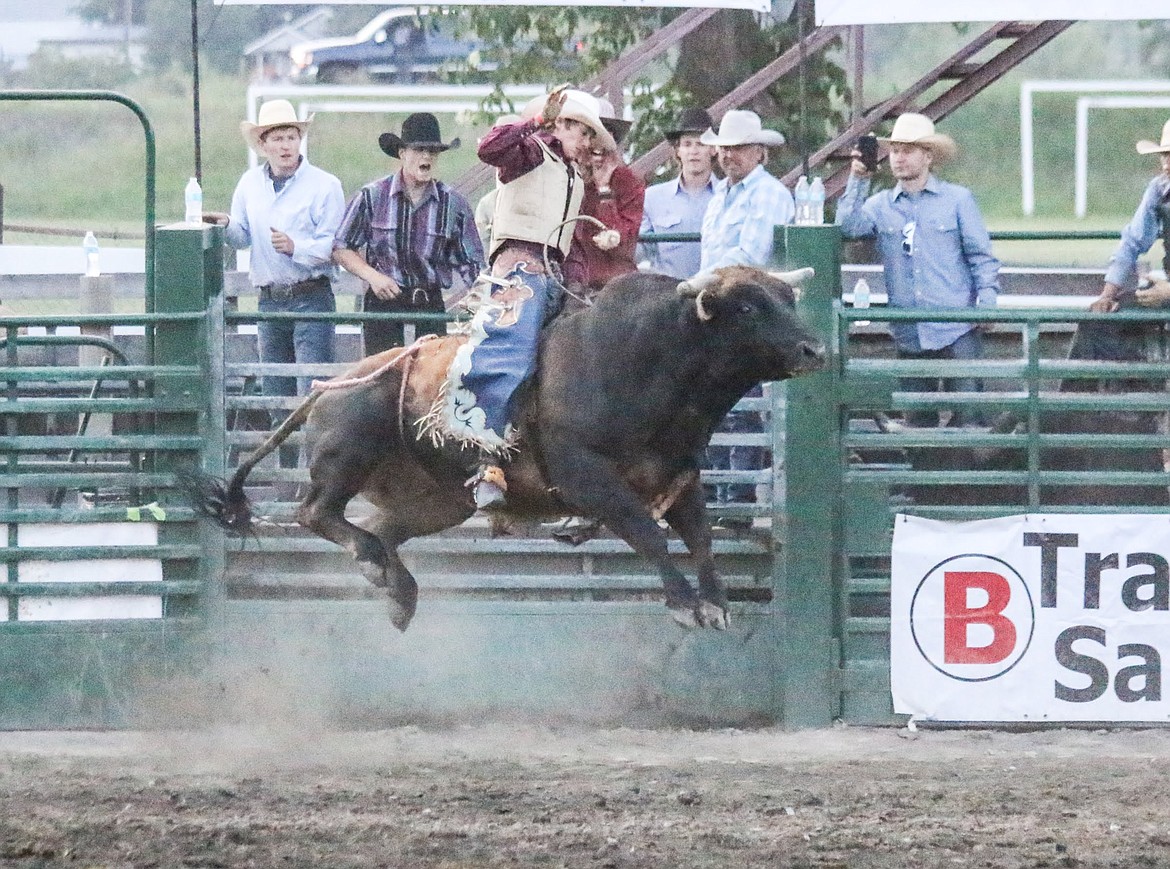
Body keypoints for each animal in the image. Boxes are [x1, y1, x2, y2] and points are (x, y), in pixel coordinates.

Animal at [191, 265, 828, 631]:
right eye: (747, 306)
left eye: (785, 297)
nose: (813, 350)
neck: (645, 359)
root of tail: (326, 387)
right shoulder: (588, 479)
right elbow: (648, 534)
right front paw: (682, 603)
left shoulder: (680, 476)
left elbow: (699, 537)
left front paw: (716, 603)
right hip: (346, 453)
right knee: (316, 513)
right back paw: (378, 569)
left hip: (439, 501)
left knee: (380, 528)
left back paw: (398, 589)